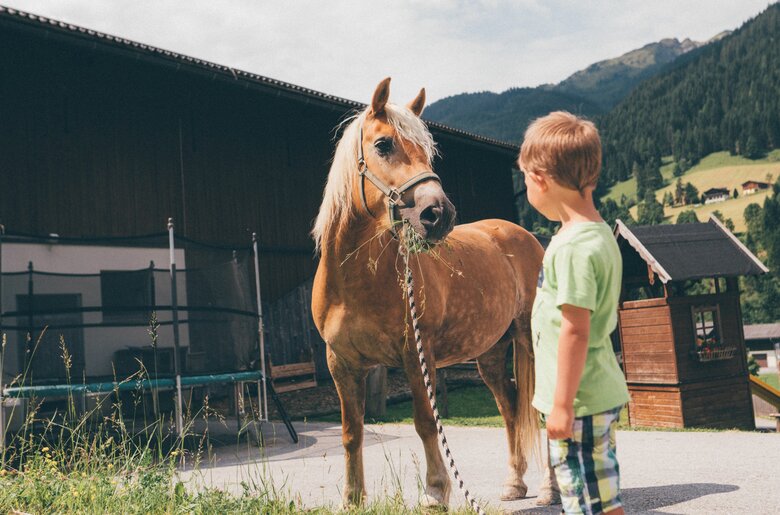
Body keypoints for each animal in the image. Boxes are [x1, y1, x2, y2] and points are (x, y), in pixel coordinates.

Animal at [310, 77, 548, 508]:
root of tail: (523, 236)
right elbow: (352, 432)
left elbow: (424, 422)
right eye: (383, 144)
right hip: (490, 352)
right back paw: (514, 483)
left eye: (428, 150)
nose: (438, 214)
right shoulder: (341, 363)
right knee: (508, 405)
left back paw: (551, 489)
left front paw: (436, 490)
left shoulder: (415, 354)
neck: (356, 282)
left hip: (529, 339)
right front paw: (352, 498)